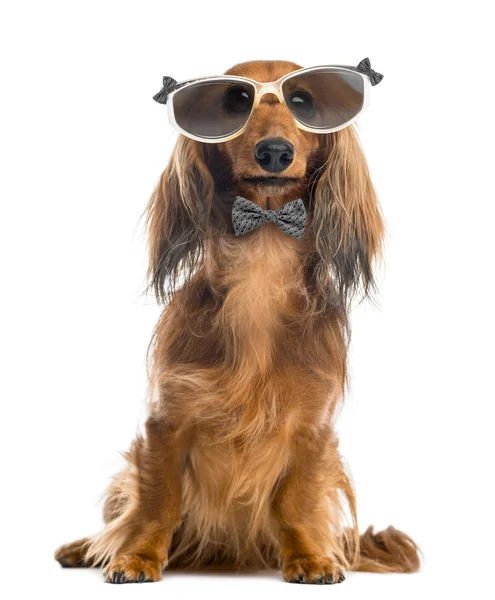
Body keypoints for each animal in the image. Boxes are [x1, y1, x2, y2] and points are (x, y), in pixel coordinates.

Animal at [55, 62, 418, 584]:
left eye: (303, 101)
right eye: (233, 102)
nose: (274, 152)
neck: (262, 258)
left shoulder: (312, 428)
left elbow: (296, 500)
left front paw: (311, 558)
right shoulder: (167, 420)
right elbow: (157, 501)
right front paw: (136, 557)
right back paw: (86, 548)